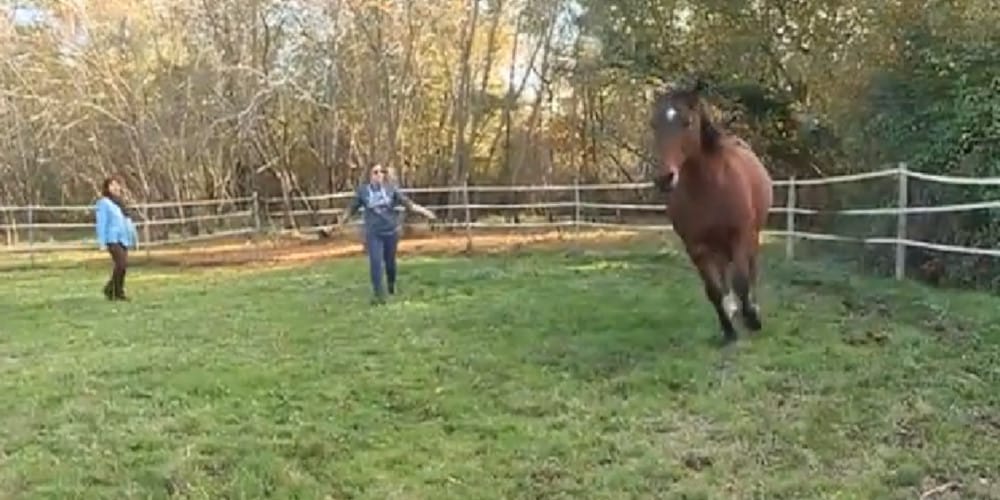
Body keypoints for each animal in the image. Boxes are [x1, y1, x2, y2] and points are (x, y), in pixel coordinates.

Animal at [648, 85, 772, 344]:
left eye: (687, 121)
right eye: (653, 124)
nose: (664, 178)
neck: (710, 187)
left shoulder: (740, 236)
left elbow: (742, 281)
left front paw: (752, 319)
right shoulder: (696, 247)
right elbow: (713, 291)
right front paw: (728, 330)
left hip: (752, 236)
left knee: (751, 271)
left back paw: (751, 309)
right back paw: (732, 308)